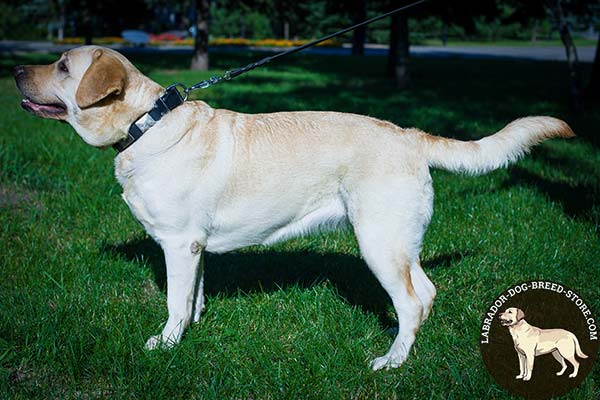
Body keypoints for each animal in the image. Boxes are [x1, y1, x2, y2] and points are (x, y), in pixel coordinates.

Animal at [14, 45, 576, 370]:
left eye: (62, 66)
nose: (16, 69)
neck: (144, 123)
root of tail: (409, 134)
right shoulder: (194, 247)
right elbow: (193, 297)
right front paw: (191, 329)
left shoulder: (178, 243)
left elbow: (174, 301)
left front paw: (166, 345)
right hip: (398, 241)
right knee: (427, 293)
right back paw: (409, 348)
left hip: (377, 243)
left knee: (411, 302)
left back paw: (391, 362)